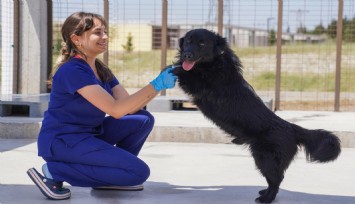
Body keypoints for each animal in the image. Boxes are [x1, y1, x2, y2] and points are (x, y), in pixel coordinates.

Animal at [172, 29, 342, 204]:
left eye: (202, 43)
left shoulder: (202, 84)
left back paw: (266, 198)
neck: (215, 63)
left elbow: (186, 74)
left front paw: (174, 68)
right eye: (188, 41)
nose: (187, 55)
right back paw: (264, 192)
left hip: (265, 158)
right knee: (275, 179)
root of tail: (291, 128)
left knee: (276, 180)